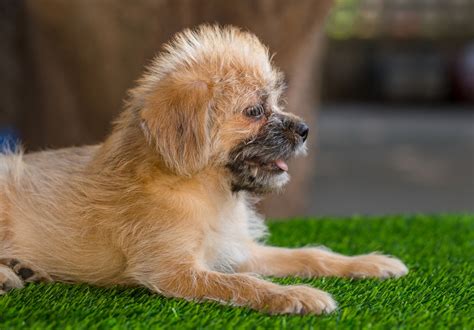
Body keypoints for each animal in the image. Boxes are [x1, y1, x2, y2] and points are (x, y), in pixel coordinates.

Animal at [0, 25, 408, 314]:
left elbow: (307, 254)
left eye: (276, 102)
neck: (203, 191)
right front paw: (296, 295)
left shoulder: (237, 250)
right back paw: (8, 275)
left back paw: (27, 268)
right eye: (254, 111)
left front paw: (369, 262)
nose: (305, 129)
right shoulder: (175, 270)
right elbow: (245, 284)